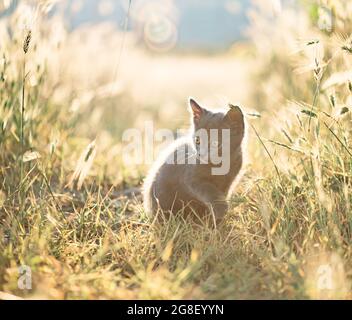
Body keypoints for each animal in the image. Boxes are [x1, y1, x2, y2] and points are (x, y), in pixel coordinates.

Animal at [143, 97, 245, 225]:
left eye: (216, 143)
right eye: (197, 140)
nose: (201, 154)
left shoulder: (229, 180)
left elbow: (222, 193)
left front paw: (215, 216)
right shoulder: (192, 178)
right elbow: (209, 191)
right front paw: (220, 211)